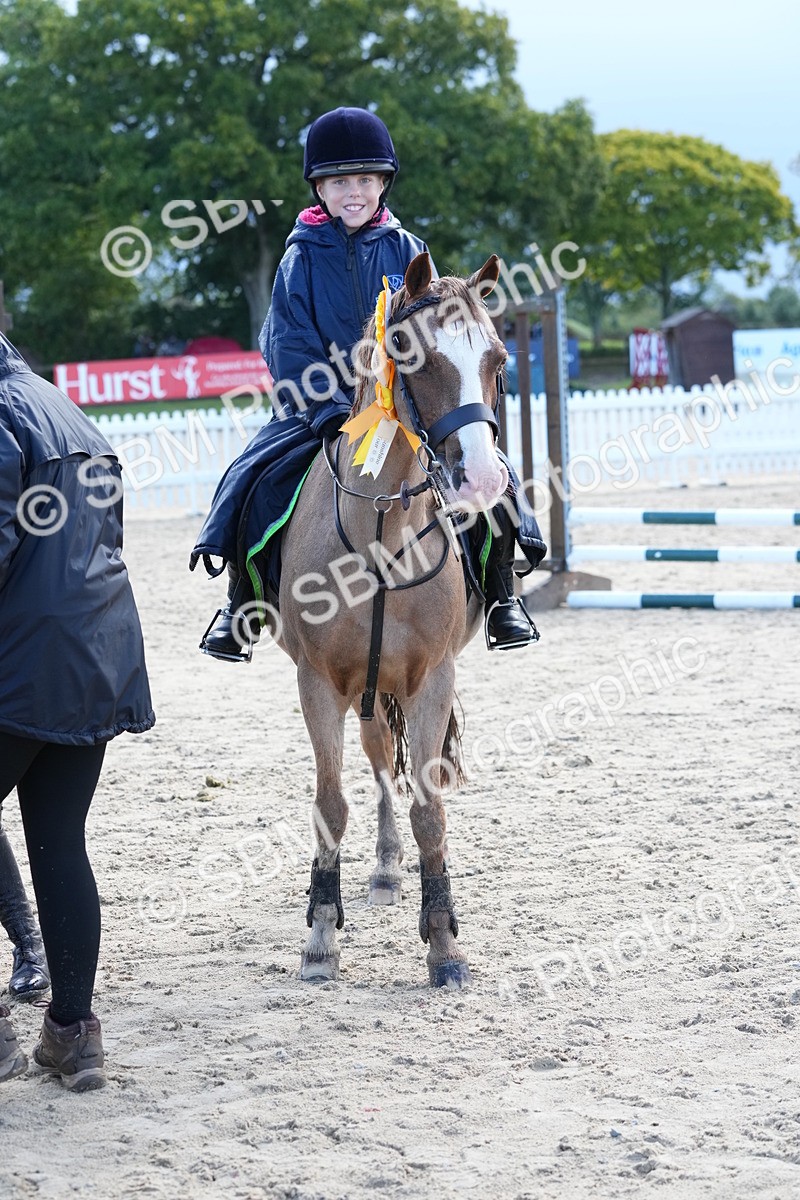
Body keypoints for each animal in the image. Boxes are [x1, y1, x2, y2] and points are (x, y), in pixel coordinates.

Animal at [273, 251, 509, 988]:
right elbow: (329, 805)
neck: (381, 529)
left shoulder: (432, 680)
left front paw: (445, 944)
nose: (483, 481)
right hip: (366, 690)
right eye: (415, 355)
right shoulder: (318, 683)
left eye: (496, 359)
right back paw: (379, 869)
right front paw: (321, 936)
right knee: (378, 762)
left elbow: (430, 812)